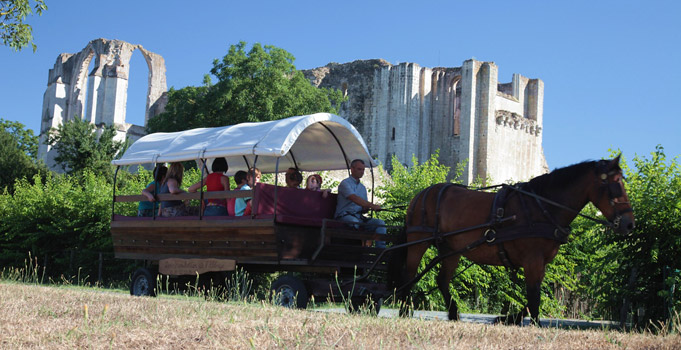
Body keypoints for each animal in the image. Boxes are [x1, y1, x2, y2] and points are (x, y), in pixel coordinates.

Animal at [390, 157, 636, 326]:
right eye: (616, 184)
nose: (629, 224)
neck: (541, 207)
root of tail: (420, 195)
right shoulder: (532, 259)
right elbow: (534, 296)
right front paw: (533, 323)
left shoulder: (540, 262)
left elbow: (532, 295)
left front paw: (508, 318)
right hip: (418, 241)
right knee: (409, 274)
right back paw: (404, 310)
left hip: (451, 248)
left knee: (442, 280)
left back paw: (453, 313)